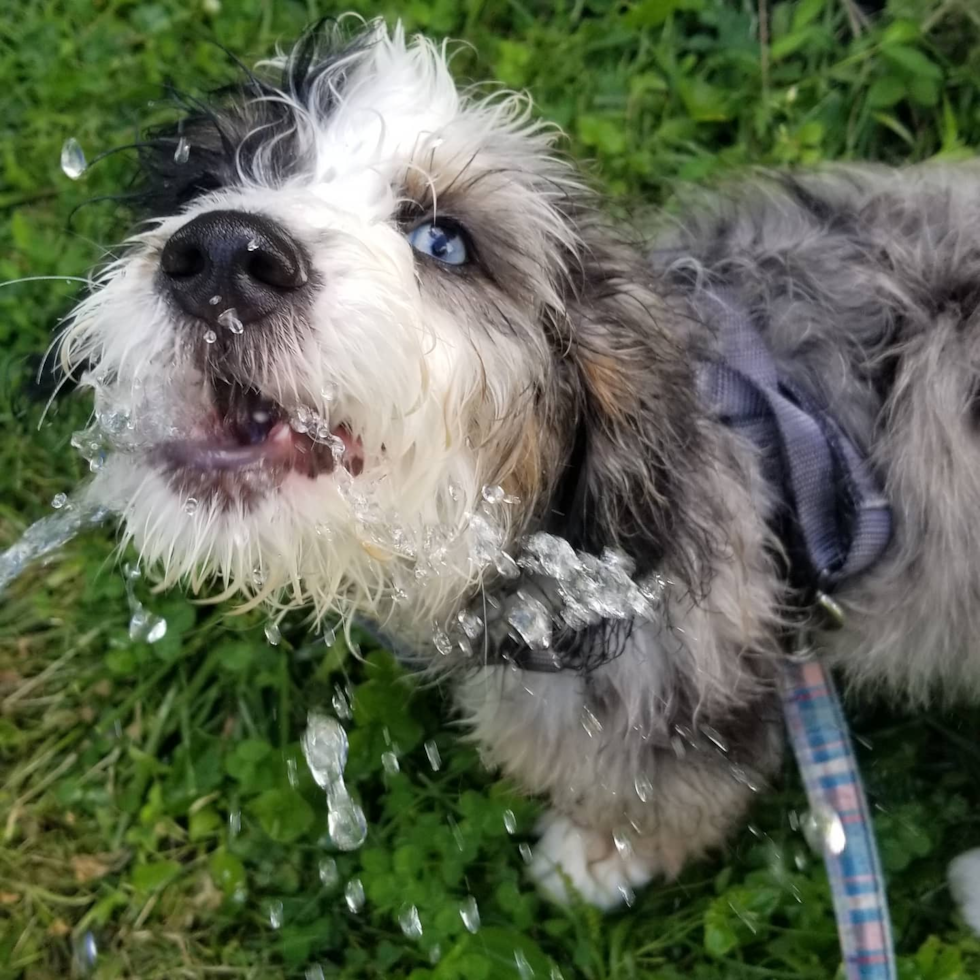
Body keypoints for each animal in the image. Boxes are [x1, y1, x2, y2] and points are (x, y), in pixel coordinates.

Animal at [59, 19, 980, 916]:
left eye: (445, 241)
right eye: (212, 175)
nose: (221, 256)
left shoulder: (686, 675)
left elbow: (669, 788)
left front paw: (599, 858)